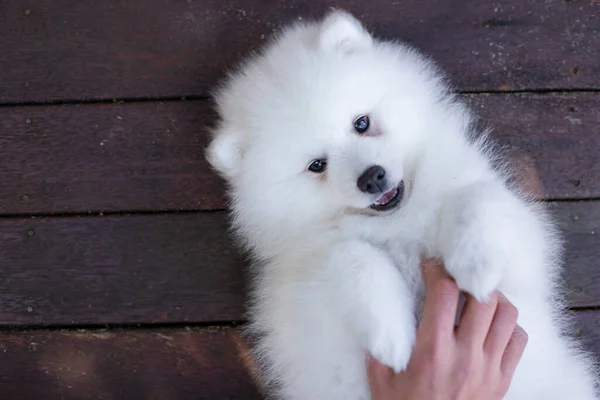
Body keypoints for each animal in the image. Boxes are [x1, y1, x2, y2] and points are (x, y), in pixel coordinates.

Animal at [205, 9, 596, 400]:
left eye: (362, 123)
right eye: (317, 165)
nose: (371, 178)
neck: (398, 222)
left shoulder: (521, 249)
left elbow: (476, 196)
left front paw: (476, 266)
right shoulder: (302, 299)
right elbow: (349, 254)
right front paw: (393, 338)